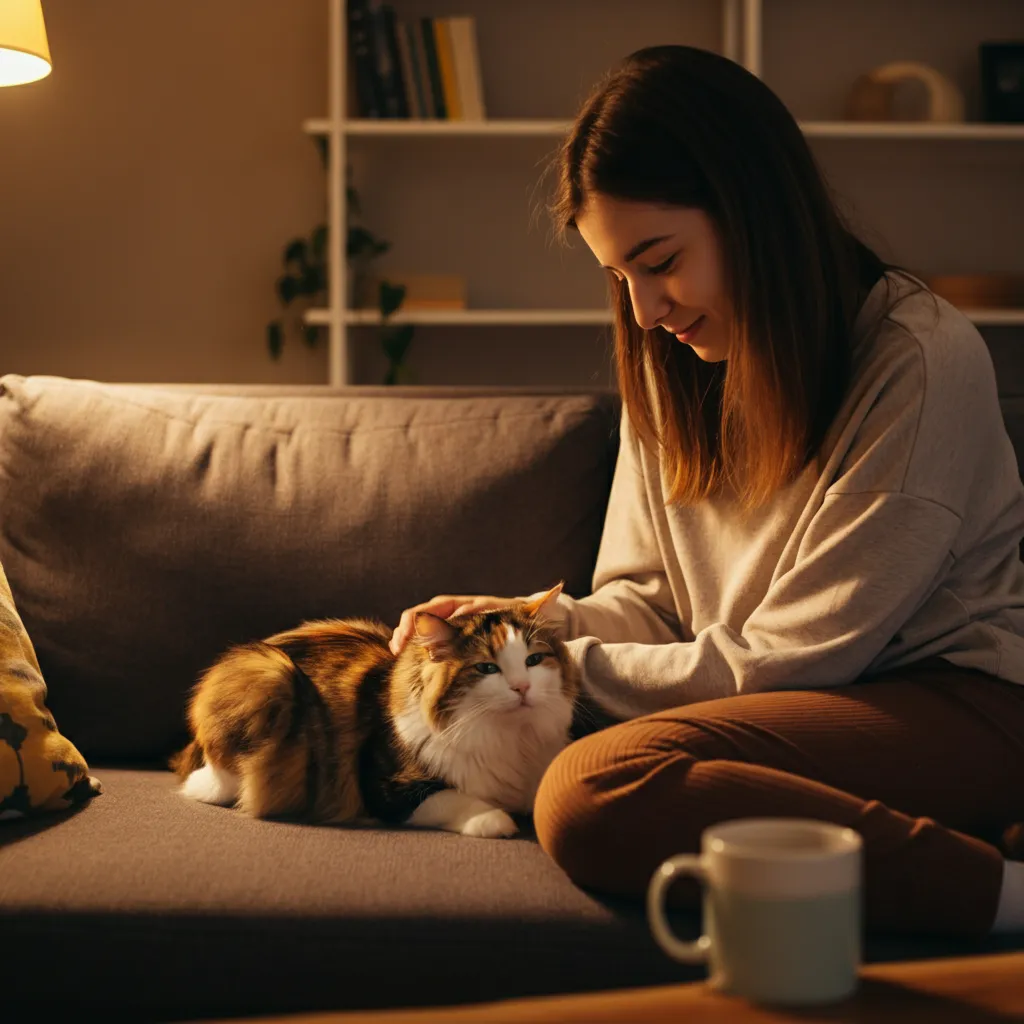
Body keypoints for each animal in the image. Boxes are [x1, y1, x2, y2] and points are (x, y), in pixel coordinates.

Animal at [172, 581, 581, 835]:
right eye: (487, 668)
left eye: (533, 660)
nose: (522, 688)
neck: (509, 739)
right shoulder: (385, 789)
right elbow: (453, 799)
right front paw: (496, 820)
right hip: (272, 675)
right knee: (211, 784)